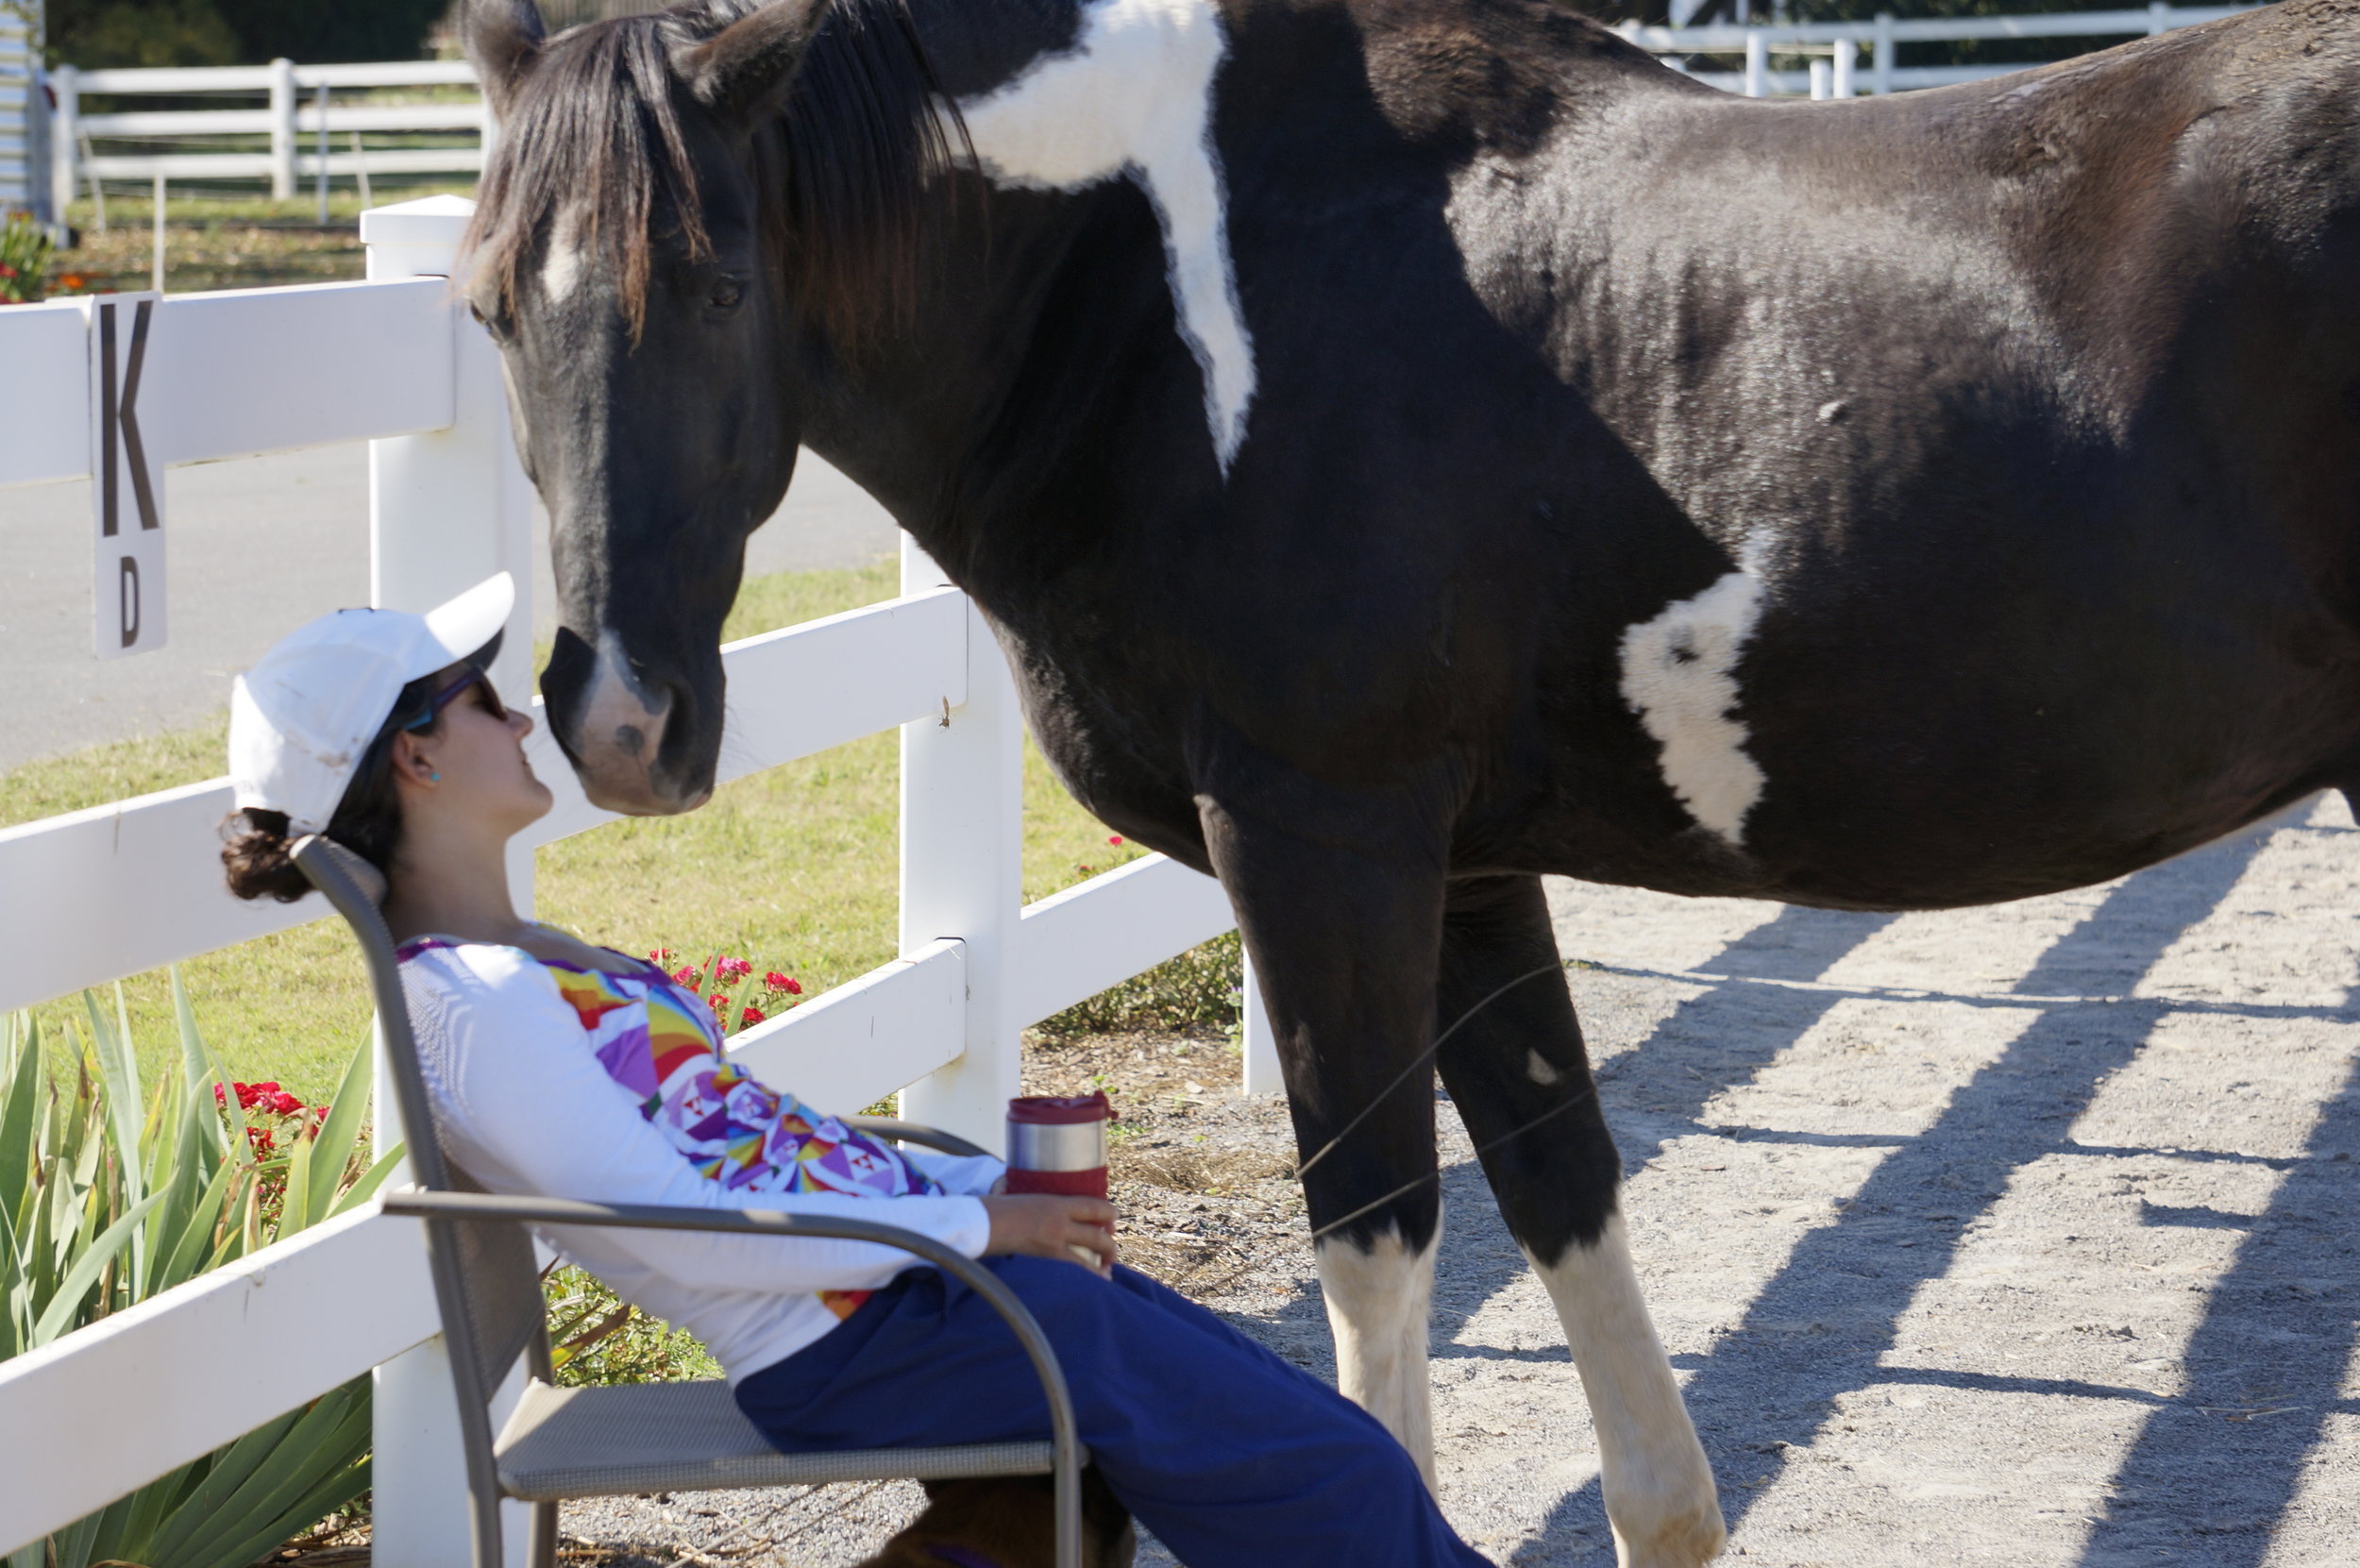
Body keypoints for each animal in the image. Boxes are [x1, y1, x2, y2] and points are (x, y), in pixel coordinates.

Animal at [452, 0, 2360, 1560]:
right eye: (482, 310)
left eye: (716, 282)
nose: (618, 719)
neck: (1168, 292)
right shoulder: (1471, 874)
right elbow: (1567, 1200)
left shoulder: (1324, 840)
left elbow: (1375, 1229)